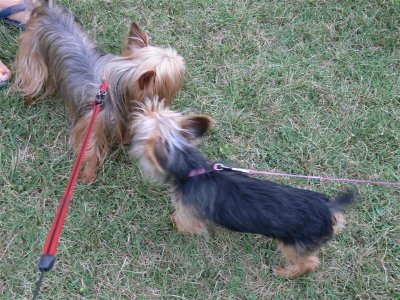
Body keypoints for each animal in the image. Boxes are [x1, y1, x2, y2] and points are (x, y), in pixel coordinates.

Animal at [13, 0, 186, 183]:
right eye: (175, 77)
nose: (183, 65)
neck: (117, 91)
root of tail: (46, 7)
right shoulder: (93, 121)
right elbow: (90, 147)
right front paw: (89, 174)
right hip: (33, 56)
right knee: (31, 78)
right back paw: (28, 99)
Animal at [131, 99, 356, 278]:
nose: (140, 106)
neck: (192, 168)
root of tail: (330, 209)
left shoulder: (189, 216)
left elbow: (181, 222)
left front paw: (172, 221)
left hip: (294, 246)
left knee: (310, 263)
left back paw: (286, 273)